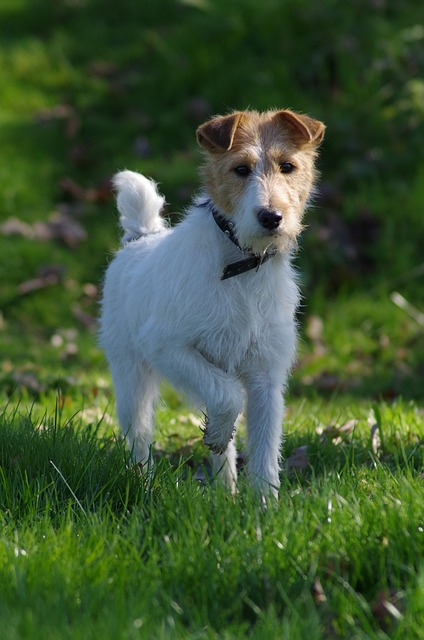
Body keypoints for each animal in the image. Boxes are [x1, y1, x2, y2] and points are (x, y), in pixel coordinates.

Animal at [99, 109, 324, 500]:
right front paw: (219, 437)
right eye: (241, 169)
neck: (242, 265)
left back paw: (224, 493)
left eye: (288, 166)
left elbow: (264, 450)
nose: (271, 217)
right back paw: (144, 484)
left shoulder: (267, 377)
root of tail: (141, 237)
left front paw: (266, 507)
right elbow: (229, 397)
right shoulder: (167, 346)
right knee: (139, 437)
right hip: (131, 376)